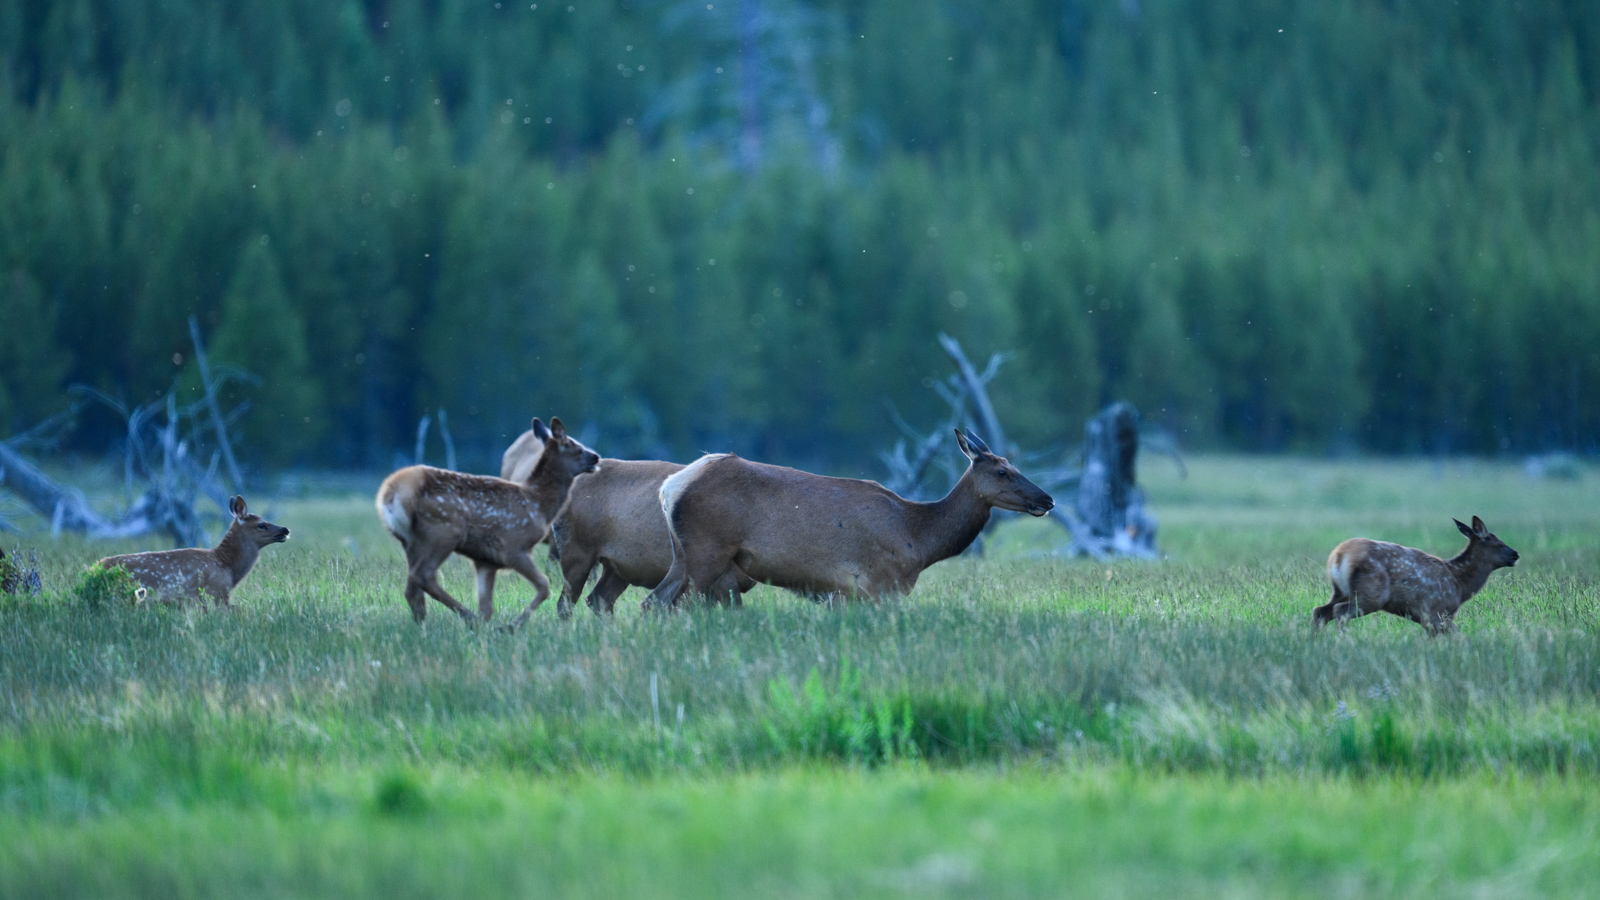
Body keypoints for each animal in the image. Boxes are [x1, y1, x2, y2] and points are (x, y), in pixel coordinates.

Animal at [377, 417, 599, 630]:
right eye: (575, 447)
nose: (596, 456)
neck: (538, 503)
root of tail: (390, 493)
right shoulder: (513, 546)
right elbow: (544, 585)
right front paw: (511, 626)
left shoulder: (485, 560)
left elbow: (487, 607)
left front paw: (493, 627)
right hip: (442, 532)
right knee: (423, 575)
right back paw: (468, 618)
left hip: (412, 542)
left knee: (412, 590)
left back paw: (425, 628)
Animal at [643, 428, 1054, 608]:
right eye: (1003, 471)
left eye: (1014, 465)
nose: (1047, 499)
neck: (920, 538)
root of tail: (669, 488)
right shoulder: (880, 585)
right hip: (706, 553)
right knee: (670, 605)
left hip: (683, 555)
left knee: (652, 604)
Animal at [1313, 515, 1520, 634]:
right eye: (1500, 544)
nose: (1516, 554)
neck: (1460, 584)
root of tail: (1339, 556)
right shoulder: (1436, 612)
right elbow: (1457, 637)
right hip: (1372, 593)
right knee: (1340, 611)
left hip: (1340, 591)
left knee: (1320, 611)